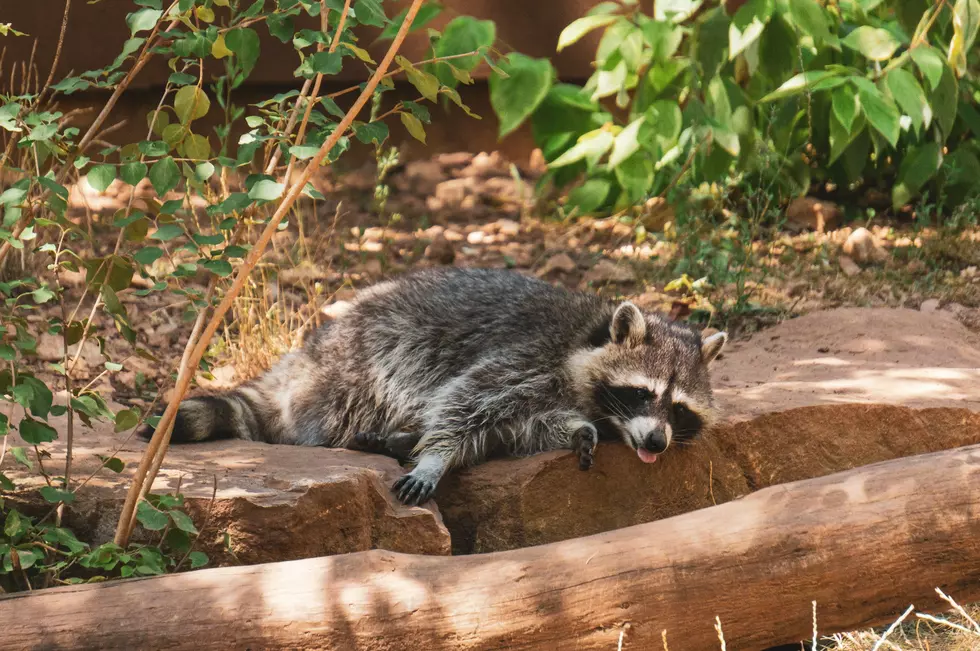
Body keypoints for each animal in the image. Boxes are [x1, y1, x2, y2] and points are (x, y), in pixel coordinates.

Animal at [143, 268, 727, 506]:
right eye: (643, 393)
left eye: (678, 409)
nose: (656, 442)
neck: (588, 335)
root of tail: (308, 354)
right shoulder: (526, 353)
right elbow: (466, 402)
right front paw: (435, 456)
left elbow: (516, 429)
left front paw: (576, 429)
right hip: (358, 364)